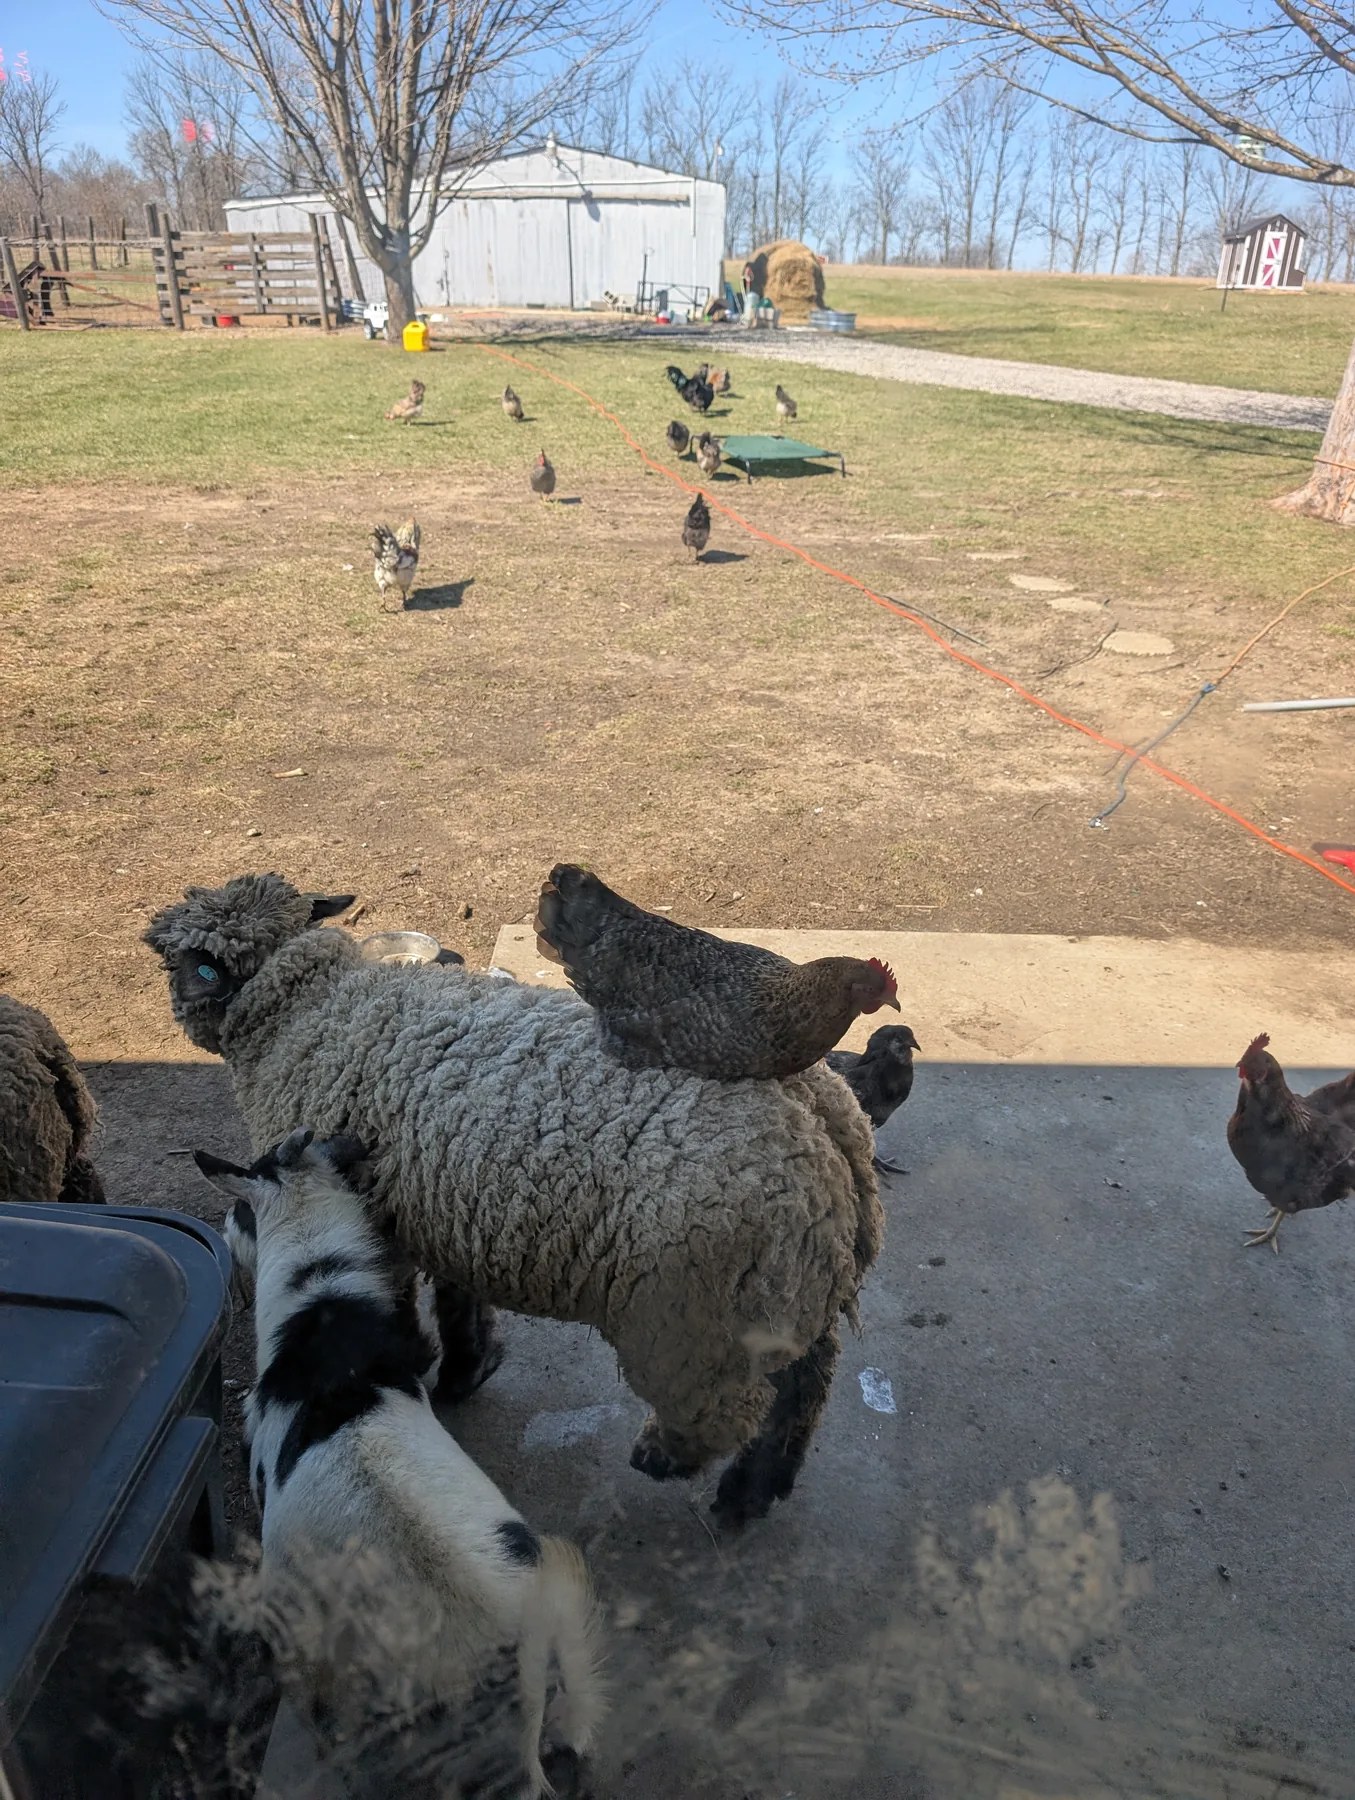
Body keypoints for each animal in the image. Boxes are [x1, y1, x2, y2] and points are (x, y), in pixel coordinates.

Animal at [144, 872, 883, 1525]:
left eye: (197, 966)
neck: (311, 1007)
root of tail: (825, 1122)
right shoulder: (442, 1209)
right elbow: (457, 1297)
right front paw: (467, 1369)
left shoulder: (372, 1215)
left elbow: (403, 1305)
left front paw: (436, 1369)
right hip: (788, 1280)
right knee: (806, 1385)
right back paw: (756, 1490)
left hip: (699, 1316)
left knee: (738, 1406)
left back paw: (670, 1459)